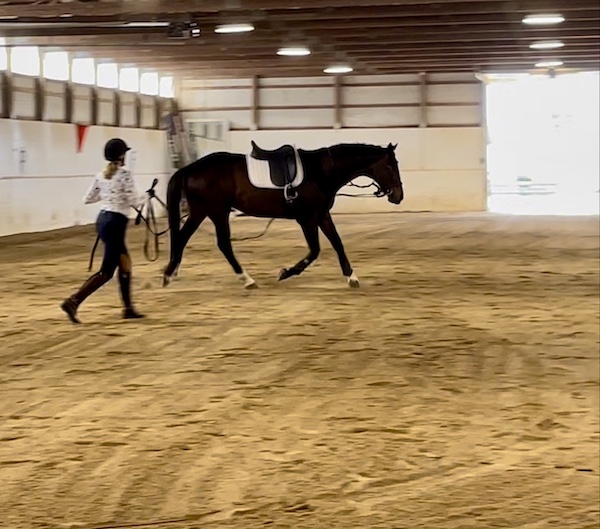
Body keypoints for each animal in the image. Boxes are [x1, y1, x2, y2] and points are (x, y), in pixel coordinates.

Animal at [163, 142, 404, 286]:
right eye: (390, 166)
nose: (398, 196)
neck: (321, 172)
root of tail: (190, 169)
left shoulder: (322, 215)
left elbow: (337, 243)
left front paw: (351, 276)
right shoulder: (307, 219)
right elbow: (314, 251)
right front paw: (287, 272)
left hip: (200, 211)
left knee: (182, 237)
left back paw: (170, 273)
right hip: (217, 211)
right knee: (223, 243)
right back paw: (247, 279)